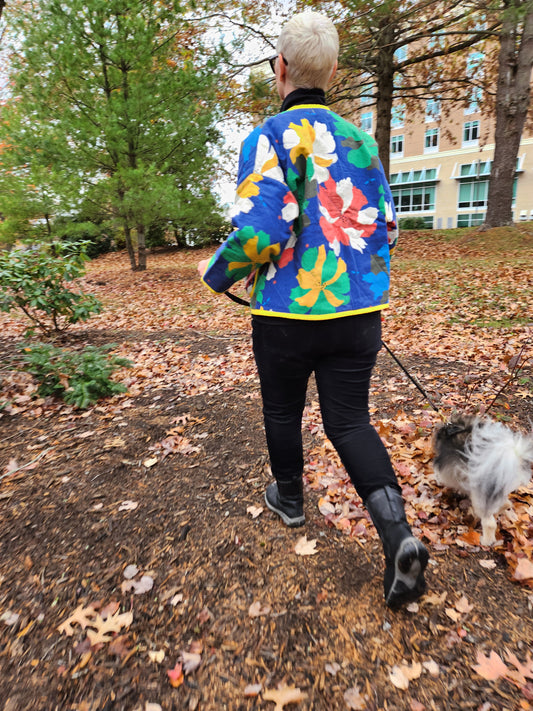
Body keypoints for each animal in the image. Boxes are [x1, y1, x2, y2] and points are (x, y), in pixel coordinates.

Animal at [432, 414, 532, 548]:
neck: (457, 429)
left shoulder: (448, 467)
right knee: (506, 504)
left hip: (479, 496)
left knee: (489, 522)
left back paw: (485, 541)